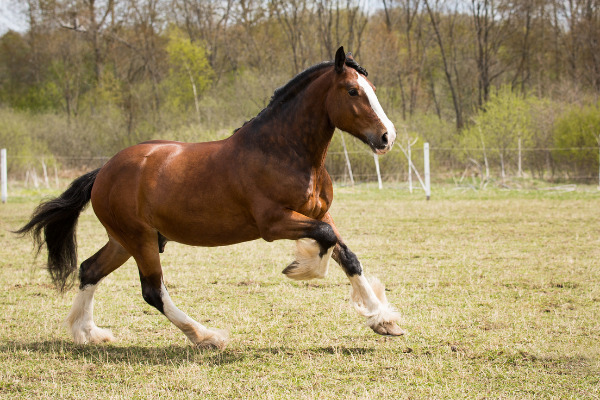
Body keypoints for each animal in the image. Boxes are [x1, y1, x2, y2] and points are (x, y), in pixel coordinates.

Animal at [17, 47, 404, 348]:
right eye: (353, 91)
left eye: (370, 88)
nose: (387, 137)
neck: (282, 151)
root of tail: (103, 171)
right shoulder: (274, 223)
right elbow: (324, 242)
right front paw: (302, 267)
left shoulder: (320, 213)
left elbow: (346, 254)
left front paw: (383, 320)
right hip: (139, 239)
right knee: (152, 291)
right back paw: (207, 337)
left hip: (124, 240)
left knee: (90, 269)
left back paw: (89, 333)